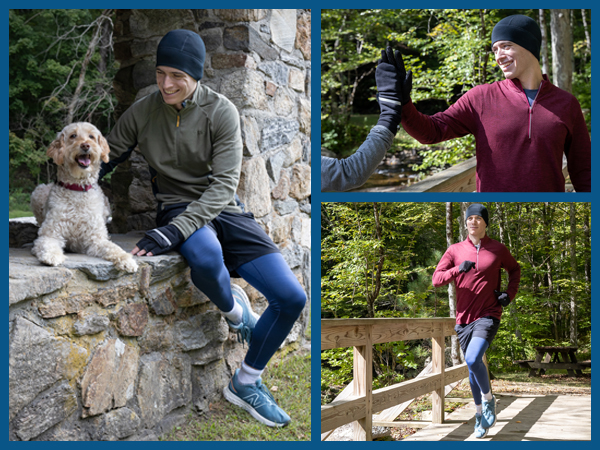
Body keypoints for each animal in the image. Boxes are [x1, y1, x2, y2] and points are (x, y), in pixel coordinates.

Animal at [31, 121, 138, 272]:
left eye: (91, 136)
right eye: (73, 136)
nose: (85, 145)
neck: (78, 188)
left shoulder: (96, 238)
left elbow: (113, 248)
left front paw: (127, 260)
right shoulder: (51, 233)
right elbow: (47, 244)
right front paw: (52, 256)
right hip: (38, 191)